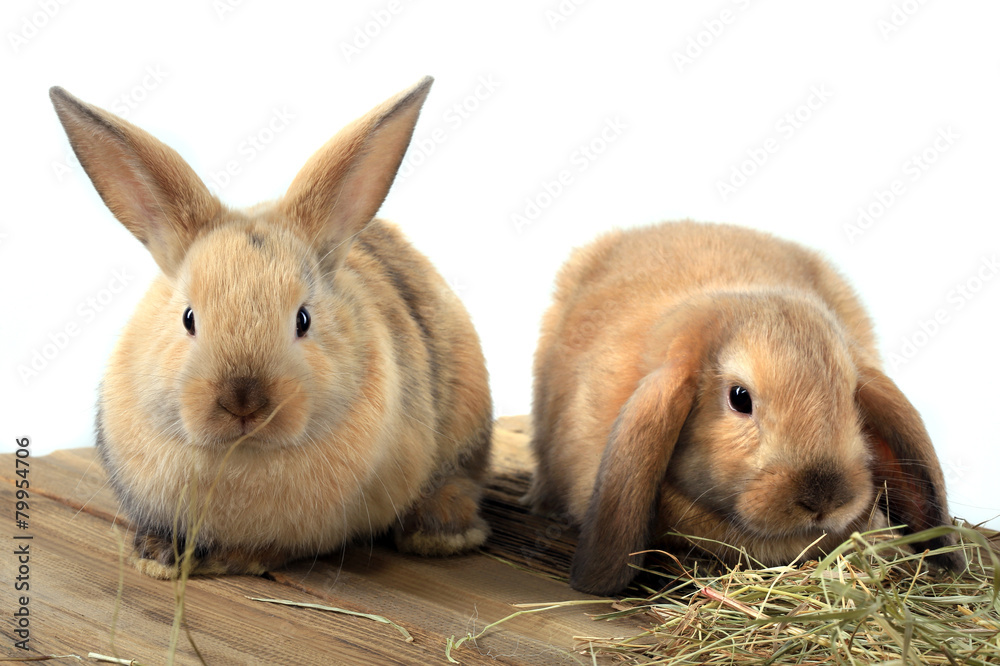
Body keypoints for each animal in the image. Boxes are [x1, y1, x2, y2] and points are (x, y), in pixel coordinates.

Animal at [50, 77, 494, 579]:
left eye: (303, 319)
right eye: (188, 318)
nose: (243, 401)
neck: (241, 453)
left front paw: (231, 558)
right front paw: (158, 558)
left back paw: (441, 533)